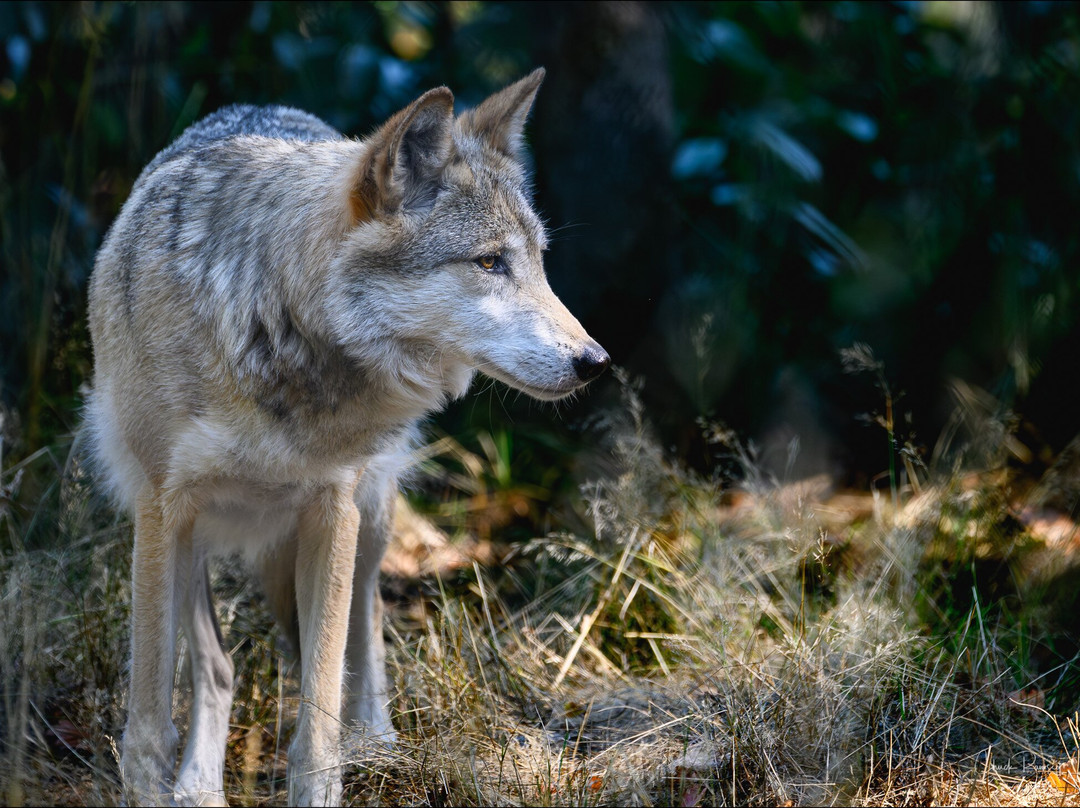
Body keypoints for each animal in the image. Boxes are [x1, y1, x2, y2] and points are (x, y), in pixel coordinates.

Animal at [85, 68, 608, 806]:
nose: (596, 361)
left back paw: (378, 741)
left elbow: (319, 719)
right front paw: (157, 786)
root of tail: (272, 107)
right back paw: (199, 786)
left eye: (538, 262)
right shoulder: (164, 509)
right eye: (488, 263)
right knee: (218, 668)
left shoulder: (330, 509)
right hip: (184, 537)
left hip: (369, 513)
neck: (272, 324)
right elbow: (150, 723)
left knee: (365, 632)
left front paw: (332, 772)